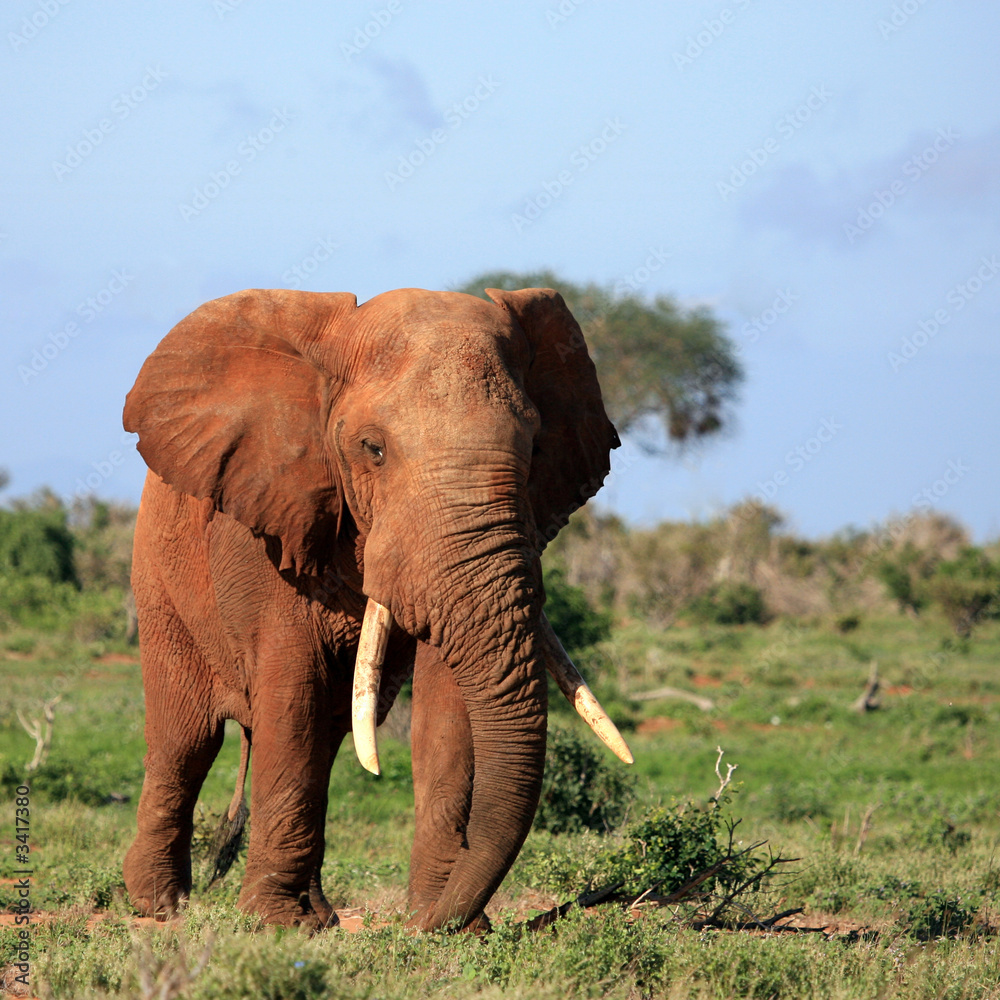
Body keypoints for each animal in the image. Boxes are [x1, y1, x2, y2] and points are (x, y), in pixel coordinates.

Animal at [121, 285, 632, 932]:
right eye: (374, 450)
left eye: (535, 447)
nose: (444, 919)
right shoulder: (275, 528)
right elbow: (291, 695)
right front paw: (275, 925)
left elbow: (448, 710)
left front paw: (445, 926)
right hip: (159, 580)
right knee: (186, 739)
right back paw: (160, 905)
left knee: (329, 735)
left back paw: (318, 915)